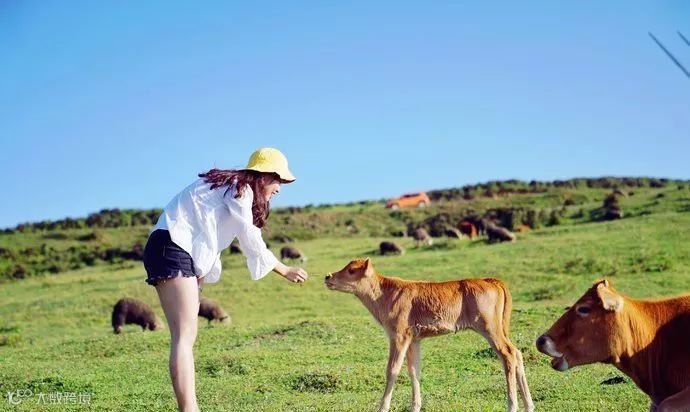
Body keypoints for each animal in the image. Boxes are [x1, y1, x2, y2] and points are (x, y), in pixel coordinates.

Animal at [325, 258, 534, 412]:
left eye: (352, 270)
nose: (328, 276)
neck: (384, 293)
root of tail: (490, 280)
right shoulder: (414, 339)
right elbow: (413, 370)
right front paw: (415, 406)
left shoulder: (398, 336)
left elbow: (392, 369)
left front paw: (382, 407)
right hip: (499, 329)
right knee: (517, 353)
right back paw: (529, 405)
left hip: (490, 329)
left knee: (508, 354)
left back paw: (512, 406)